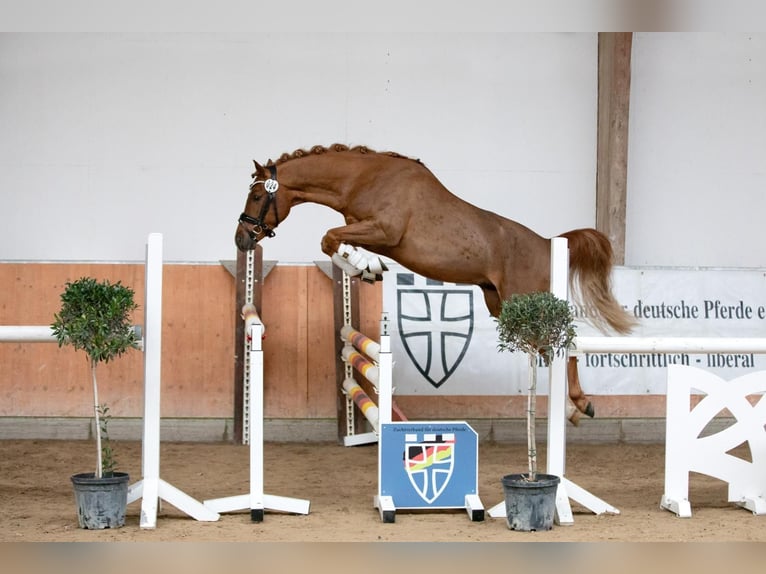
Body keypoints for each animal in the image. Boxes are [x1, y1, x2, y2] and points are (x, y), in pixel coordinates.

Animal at [236, 144, 636, 424]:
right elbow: (334, 241)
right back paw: (572, 409)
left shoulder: (384, 230)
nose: (242, 239)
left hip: (524, 300)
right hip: (504, 307)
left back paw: (582, 405)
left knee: (564, 338)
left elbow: (330, 237)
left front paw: (364, 267)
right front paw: (366, 268)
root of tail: (547, 243)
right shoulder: (368, 231)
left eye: (256, 196)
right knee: (549, 347)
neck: (363, 178)